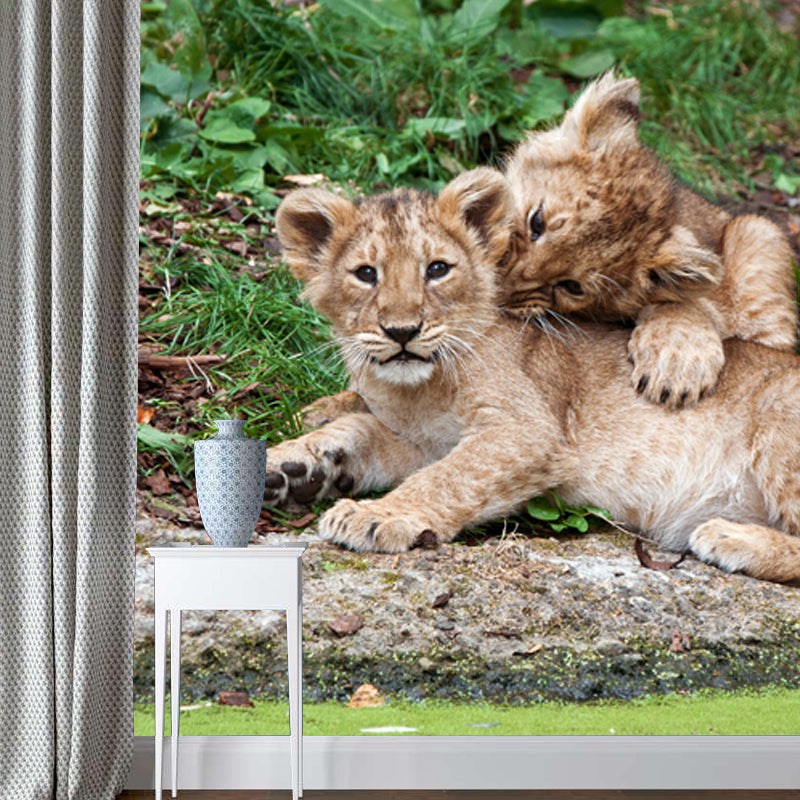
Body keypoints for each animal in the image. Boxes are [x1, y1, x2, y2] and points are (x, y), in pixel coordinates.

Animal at [269, 167, 800, 583]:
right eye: (365, 274)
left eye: (437, 269)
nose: (402, 331)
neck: (419, 389)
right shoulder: (419, 442)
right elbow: (359, 429)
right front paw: (292, 466)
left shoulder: (530, 432)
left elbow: (448, 479)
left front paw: (375, 516)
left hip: (780, 421)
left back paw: (728, 537)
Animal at [502, 72, 798, 409]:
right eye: (536, 222)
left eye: (572, 287)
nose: (500, 290)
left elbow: (688, 306)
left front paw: (677, 367)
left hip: (757, 230)